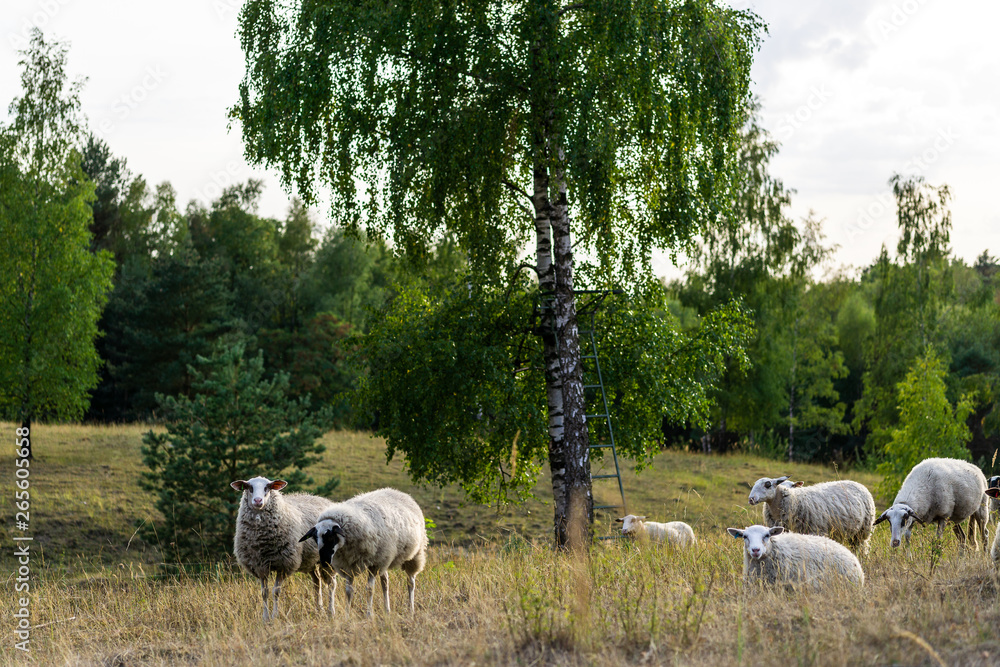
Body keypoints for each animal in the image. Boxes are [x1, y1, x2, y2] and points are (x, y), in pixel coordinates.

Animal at [231, 476, 335, 621]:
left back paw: (331, 612)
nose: (258, 501)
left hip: (329, 560)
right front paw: (265, 618)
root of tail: (323, 499)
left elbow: (276, 592)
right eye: (249, 487)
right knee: (317, 582)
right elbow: (264, 593)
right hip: (311, 561)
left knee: (331, 584)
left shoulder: (283, 564)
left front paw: (274, 616)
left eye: (267, 487)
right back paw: (319, 610)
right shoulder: (259, 566)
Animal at [300, 487, 427, 617]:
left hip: (414, 554)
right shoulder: (348, 565)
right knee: (385, 582)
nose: (324, 562)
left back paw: (411, 609)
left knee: (410, 582)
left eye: (330, 537)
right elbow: (348, 591)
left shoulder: (374, 564)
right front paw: (347, 615)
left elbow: (370, 589)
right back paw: (387, 610)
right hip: (385, 557)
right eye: (315, 538)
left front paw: (369, 615)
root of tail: (398, 492)